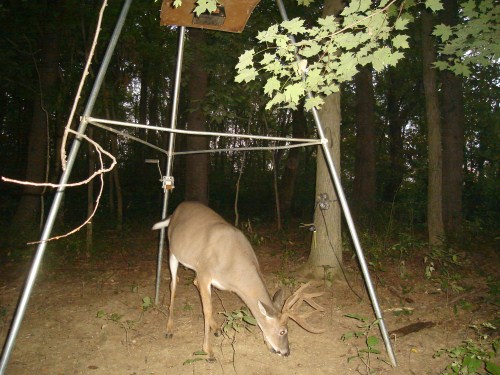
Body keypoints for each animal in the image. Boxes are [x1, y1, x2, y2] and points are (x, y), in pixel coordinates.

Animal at [152, 201, 324, 362]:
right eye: (283, 331)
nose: (286, 352)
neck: (234, 271)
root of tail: (174, 212)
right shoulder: (205, 273)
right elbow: (207, 310)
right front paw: (209, 352)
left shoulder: (205, 275)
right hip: (173, 251)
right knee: (173, 283)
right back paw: (169, 329)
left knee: (192, 281)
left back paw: (216, 328)